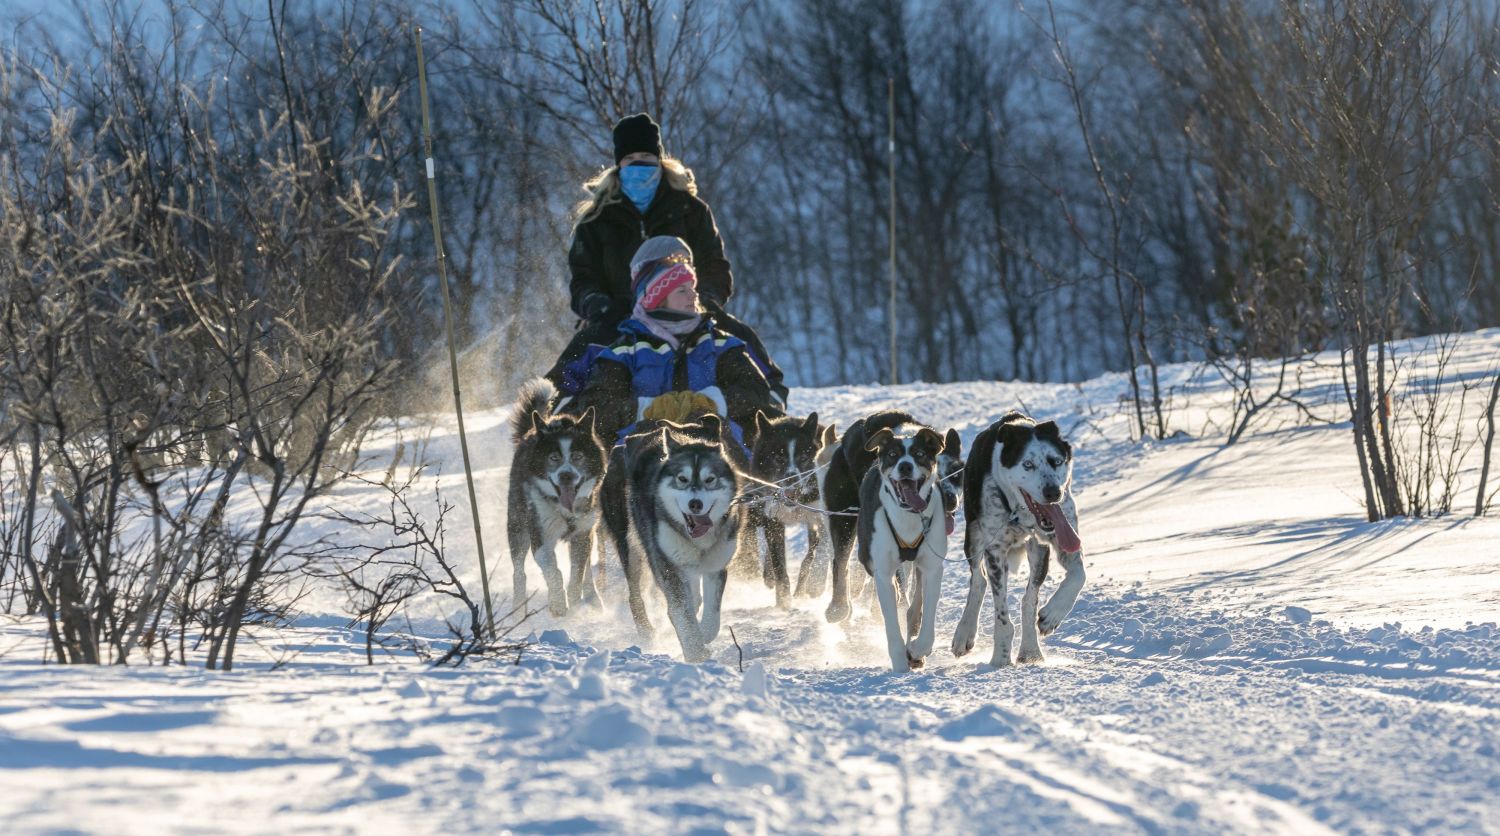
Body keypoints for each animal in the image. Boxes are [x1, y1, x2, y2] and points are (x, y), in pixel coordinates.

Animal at [507, 381, 606, 615]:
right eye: (553, 458)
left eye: (578, 456)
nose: (566, 475)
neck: (564, 510)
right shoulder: (540, 536)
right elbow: (553, 572)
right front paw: (558, 603)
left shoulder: (582, 533)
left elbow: (577, 575)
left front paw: (575, 603)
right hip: (517, 527)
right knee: (518, 571)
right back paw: (518, 610)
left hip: (589, 532)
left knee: (587, 569)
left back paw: (592, 596)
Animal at [600, 414, 747, 657]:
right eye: (682, 479)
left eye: (710, 479)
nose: (695, 504)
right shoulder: (667, 566)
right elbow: (681, 611)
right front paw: (695, 651)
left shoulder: (715, 567)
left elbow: (711, 616)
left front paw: (703, 636)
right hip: (631, 549)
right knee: (635, 595)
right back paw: (646, 631)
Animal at [744, 411, 840, 603]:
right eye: (778, 457)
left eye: (803, 457)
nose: (792, 478)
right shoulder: (773, 519)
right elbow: (779, 565)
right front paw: (783, 601)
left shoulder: (820, 516)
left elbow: (819, 551)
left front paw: (813, 584)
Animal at [858, 423, 948, 672]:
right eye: (893, 455)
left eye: (919, 454)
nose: (905, 465)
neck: (908, 516)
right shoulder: (882, 572)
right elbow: (891, 624)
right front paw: (899, 665)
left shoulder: (933, 568)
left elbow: (926, 617)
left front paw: (918, 649)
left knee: (914, 607)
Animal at [954, 411, 1086, 666]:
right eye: (1028, 464)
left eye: (1056, 461)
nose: (1053, 492)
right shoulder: (995, 550)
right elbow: (1001, 616)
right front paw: (1000, 658)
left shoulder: (1059, 539)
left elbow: (1078, 575)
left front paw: (1052, 615)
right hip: (973, 537)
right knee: (978, 581)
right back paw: (964, 633)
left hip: (1038, 552)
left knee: (1028, 601)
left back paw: (1031, 650)